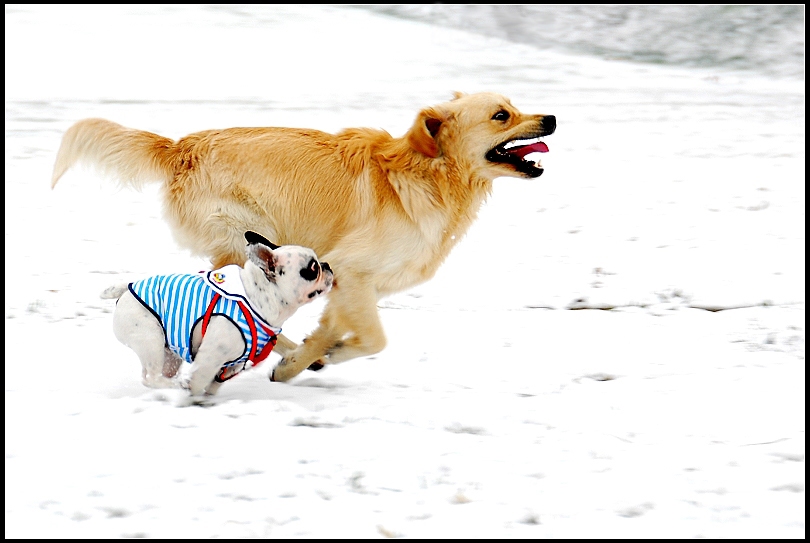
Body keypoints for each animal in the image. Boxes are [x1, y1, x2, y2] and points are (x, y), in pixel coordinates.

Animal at [102, 232, 332, 398]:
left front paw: (208, 399)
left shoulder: (233, 365)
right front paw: (193, 398)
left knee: (161, 373)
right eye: (312, 268)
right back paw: (177, 386)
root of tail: (127, 289)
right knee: (150, 376)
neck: (258, 299)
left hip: (169, 354)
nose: (327, 265)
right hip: (150, 338)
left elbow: (214, 384)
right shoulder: (211, 356)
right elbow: (199, 379)